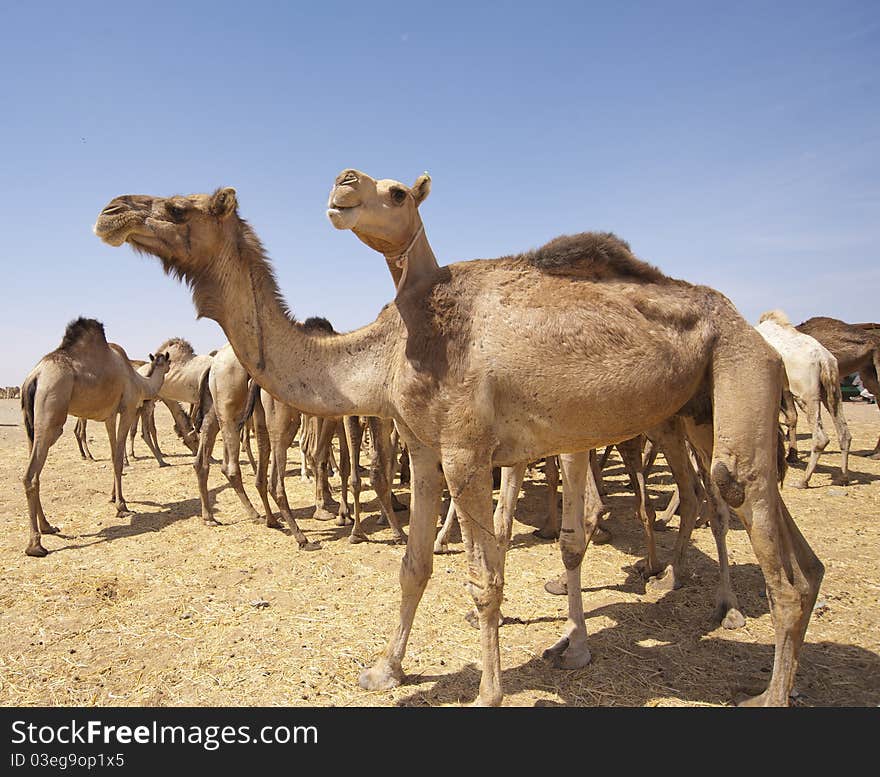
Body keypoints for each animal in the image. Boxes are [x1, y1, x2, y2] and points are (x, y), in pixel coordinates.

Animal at [20, 318, 170, 556]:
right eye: (164, 361)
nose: (170, 365)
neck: (138, 380)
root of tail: (34, 376)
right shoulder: (127, 408)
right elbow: (118, 458)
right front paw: (122, 506)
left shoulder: (109, 415)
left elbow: (113, 454)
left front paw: (114, 497)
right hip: (51, 412)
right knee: (30, 474)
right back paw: (35, 545)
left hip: (31, 422)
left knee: (35, 471)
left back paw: (48, 526)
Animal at [98, 185, 824, 708]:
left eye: (178, 207)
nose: (111, 210)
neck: (387, 349)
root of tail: (759, 335)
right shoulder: (422, 448)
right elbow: (413, 565)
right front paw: (385, 669)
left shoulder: (466, 453)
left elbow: (485, 578)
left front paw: (487, 692)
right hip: (707, 402)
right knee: (799, 555)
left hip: (733, 379)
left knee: (757, 536)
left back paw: (764, 689)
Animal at [752, 310, 848, 484]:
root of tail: (823, 358)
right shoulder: (783, 388)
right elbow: (791, 417)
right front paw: (791, 455)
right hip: (832, 387)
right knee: (844, 431)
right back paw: (843, 477)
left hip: (805, 392)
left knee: (820, 437)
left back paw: (803, 481)